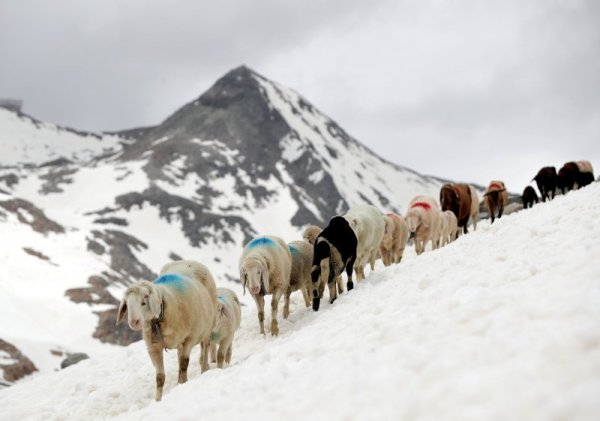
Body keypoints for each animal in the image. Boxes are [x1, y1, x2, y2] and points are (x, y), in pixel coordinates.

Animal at [116, 262, 217, 400]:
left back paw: (205, 368)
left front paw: (182, 384)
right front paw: (158, 399)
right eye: (127, 303)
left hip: (207, 326)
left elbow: (184, 363)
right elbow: (160, 377)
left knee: (205, 347)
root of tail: (188, 260)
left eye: (144, 301)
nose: (134, 322)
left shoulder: (190, 338)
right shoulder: (153, 349)